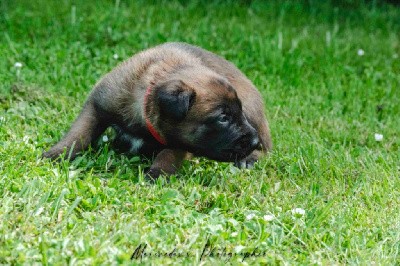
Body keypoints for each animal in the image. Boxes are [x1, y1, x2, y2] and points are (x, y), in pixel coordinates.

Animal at [43, 42, 272, 180]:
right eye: (223, 118)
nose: (253, 141)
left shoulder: (181, 141)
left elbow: (168, 155)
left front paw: (156, 174)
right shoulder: (96, 105)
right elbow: (79, 134)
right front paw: (56, 154)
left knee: (267, 150)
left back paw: (250, 158)